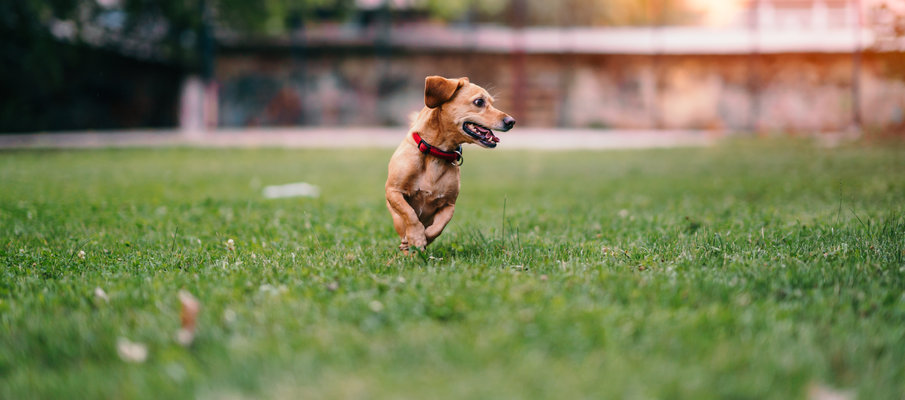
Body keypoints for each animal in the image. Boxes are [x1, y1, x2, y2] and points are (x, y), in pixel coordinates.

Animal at [384, 76, 516, 253]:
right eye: (479, 102)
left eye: (492, 102)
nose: (511, 121)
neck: (435, 153)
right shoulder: (393, 191)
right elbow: (410, 214)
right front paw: (417, 237)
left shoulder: (449, 204)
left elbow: (438, 227)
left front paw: (424, 237)